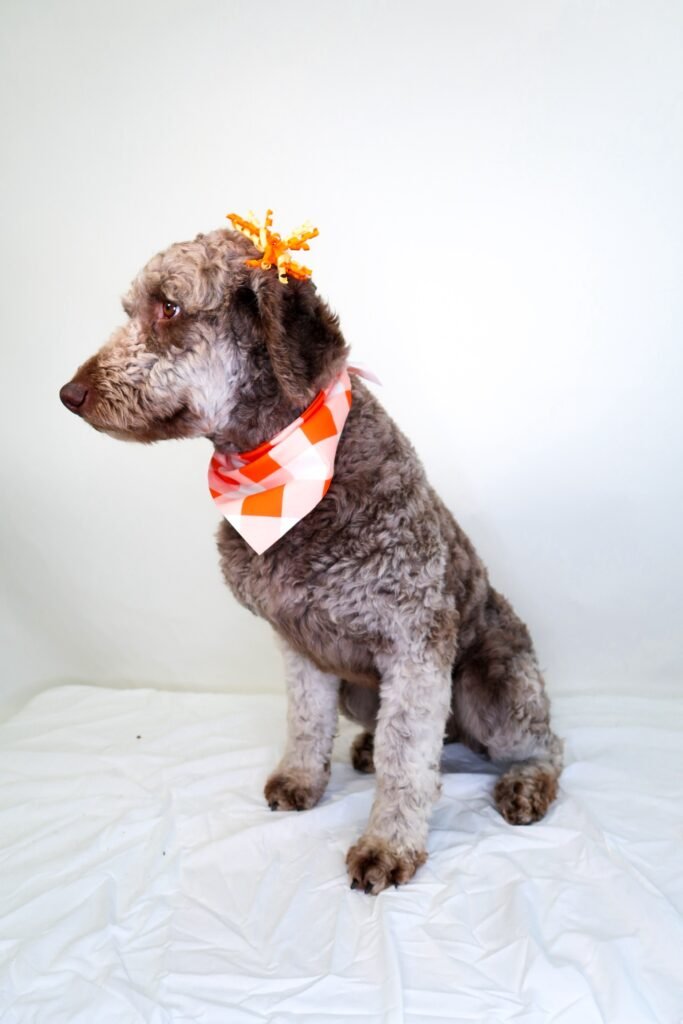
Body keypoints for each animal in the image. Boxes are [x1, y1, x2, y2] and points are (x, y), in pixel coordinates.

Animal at [60, 226, 563, 894]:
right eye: (130, 310)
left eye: (169, 307)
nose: (69, 394)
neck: (284, 469)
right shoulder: (300, 643)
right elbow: (305, 720)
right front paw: (303, 778)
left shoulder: (415, 645)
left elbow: (408, 759)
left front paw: (387, 844)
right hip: (361, 691)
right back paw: (366, 748)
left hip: (494, 683)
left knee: (544, 745)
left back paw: (526, 782)